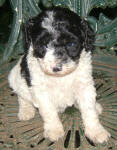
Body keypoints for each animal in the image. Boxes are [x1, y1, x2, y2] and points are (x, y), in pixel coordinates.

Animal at [8, 6, 110, 143]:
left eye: (71, 44)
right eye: (43, 45)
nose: (56, 68)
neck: (60, 77)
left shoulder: (84, 85)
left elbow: (89, 109)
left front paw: (96, 131)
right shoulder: (40, 90)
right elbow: (48, 111)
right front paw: (54, 130)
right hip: (16, 77)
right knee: (21, 95)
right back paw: (26, 110)